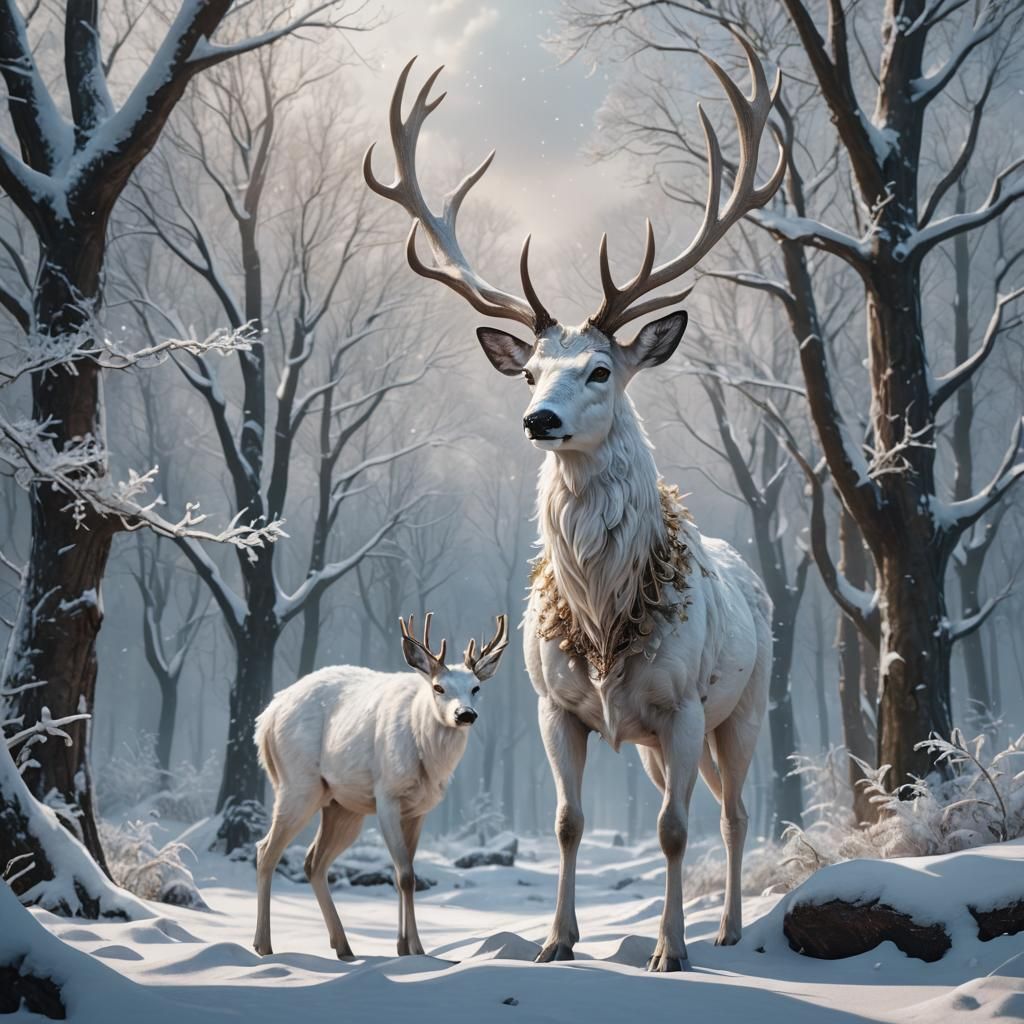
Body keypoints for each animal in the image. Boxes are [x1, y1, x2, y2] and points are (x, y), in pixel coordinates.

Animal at [252, 612, 509, 959]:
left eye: (476, 687)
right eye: (438, 687)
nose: (465, 714)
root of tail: (265, 722)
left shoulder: (418, 809)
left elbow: (406, 872)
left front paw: (402, 946)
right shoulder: (387, 795)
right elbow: (405, 875)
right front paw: (417, 948)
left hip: (342, 807)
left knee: (313, 862)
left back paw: (343, 946)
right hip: (297, 785)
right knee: (266, 850)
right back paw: (264, 945)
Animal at [364, 32, 784, 973]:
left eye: (600, 369)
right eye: (526, 370)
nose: (539, 419)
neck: (601, 612)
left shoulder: (686, 705)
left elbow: (672, 833)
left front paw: (670, 951)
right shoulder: (557, 709)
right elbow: (567, 822)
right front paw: (557, 942)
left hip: (746, 706)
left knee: (735, 811)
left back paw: (729, 927)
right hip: (665, 742)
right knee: (704, 805)